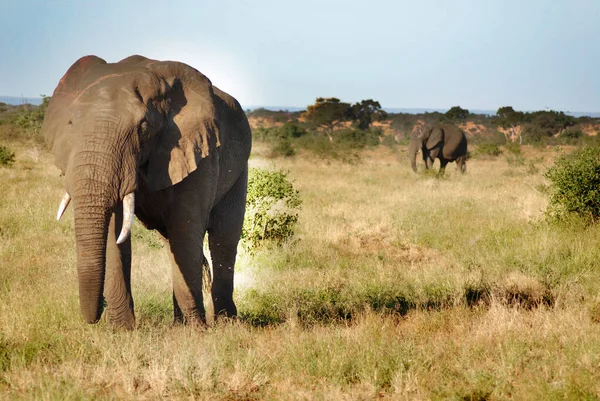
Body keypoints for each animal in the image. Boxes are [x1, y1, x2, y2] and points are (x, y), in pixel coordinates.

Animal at [39, 54, 251, 328]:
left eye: (143, 128)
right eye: (71, 124)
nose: (96, 315)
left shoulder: (199, 150)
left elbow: (186, 229)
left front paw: (196, 331)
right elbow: (115, 234)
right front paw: (122, 331)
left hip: (239, 169)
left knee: (223, 238)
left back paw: (225, 323)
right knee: (173, 243)